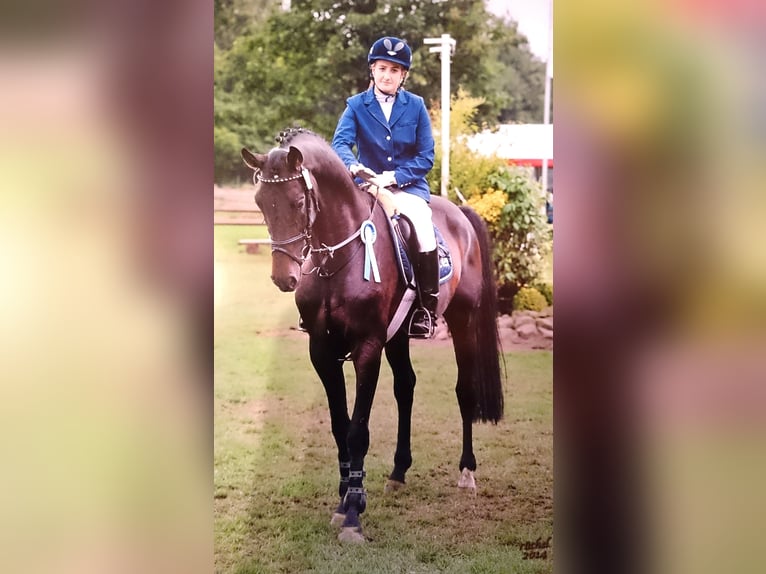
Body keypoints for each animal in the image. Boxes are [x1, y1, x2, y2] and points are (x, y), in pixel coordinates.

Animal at [240, 127, 504, 544]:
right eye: (260, 203)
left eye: (298, 201)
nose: (285, 278)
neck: (335, 261)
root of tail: (459, 213)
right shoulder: (322, 350)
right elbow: (339, 426)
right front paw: (345, 498)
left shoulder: (367, 347)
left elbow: (357, 430)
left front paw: (352, 515)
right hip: (398, 336)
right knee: (406, 387)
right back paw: (398, 472)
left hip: (461, 321)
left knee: (465, 391)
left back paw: (466, 471)